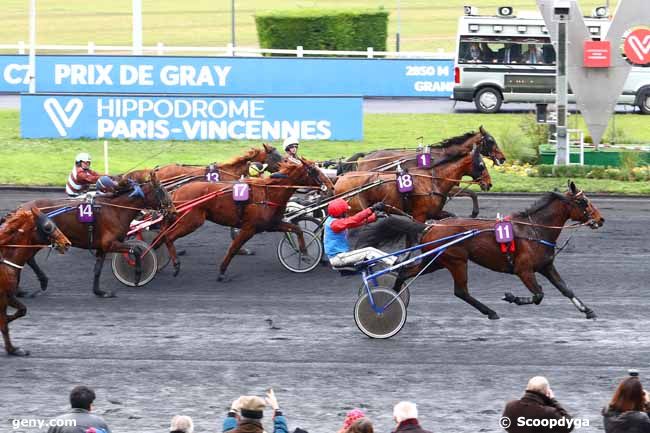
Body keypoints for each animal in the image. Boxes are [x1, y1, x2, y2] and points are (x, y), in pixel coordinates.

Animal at [0, 207, 71, 354]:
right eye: (48, 227)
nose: (67, 243)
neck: (5, 261)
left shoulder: (9, 294)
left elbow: (22, 310)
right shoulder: (2, 295)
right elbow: (4, 324)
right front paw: (13, 349)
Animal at [22, 174, 175, 298]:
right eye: (162, 191)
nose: (173, 212)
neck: (116, 210)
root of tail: (23, 208)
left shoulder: (102, 247)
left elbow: (97, 269)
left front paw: (99, 292)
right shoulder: (110, 243)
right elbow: (136, 250)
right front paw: (137, 276)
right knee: (27, 258)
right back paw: (38, 284)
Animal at [159, 158, 334, 280]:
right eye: (314, 170)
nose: (331, 186)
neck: (269, 193)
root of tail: (176, 192)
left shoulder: (272, 224)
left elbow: (297, 229)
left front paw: (303, 253)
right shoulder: (250, 228)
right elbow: (233, 248)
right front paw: (222, 272)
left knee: (162, 235)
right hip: (191, 221)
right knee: (168, 236)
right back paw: (175, 265)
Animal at [390, 181, 604, 318]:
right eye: (584, 202)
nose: (601, 219)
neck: (534, 230)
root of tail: (430, 226)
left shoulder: (546, 266)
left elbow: (565, 289)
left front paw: (587, 310)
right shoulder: (523, 270)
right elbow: (538, 295)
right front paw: (512, 297)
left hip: (436, 261)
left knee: (405, 272)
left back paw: (394, 297)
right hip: (455, 261)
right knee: (461, 291)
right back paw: (491, 312)